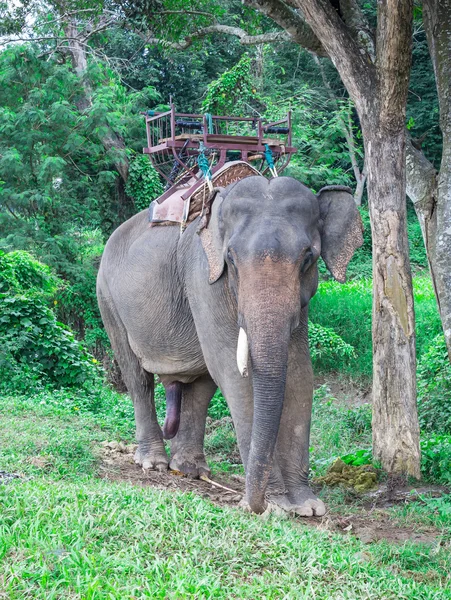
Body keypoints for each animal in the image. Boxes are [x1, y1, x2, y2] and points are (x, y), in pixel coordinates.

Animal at [96, 175, 364, 516]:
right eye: (231, 259)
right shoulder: (204, 277)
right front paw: (277, 504)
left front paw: (307, 506)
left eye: (308, 257)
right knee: (137, 377)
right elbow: (235, 372)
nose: (254, 505)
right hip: (108, 298)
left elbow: (301, 373)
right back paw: (154, 463)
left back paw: (190, 470)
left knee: (200, 385)